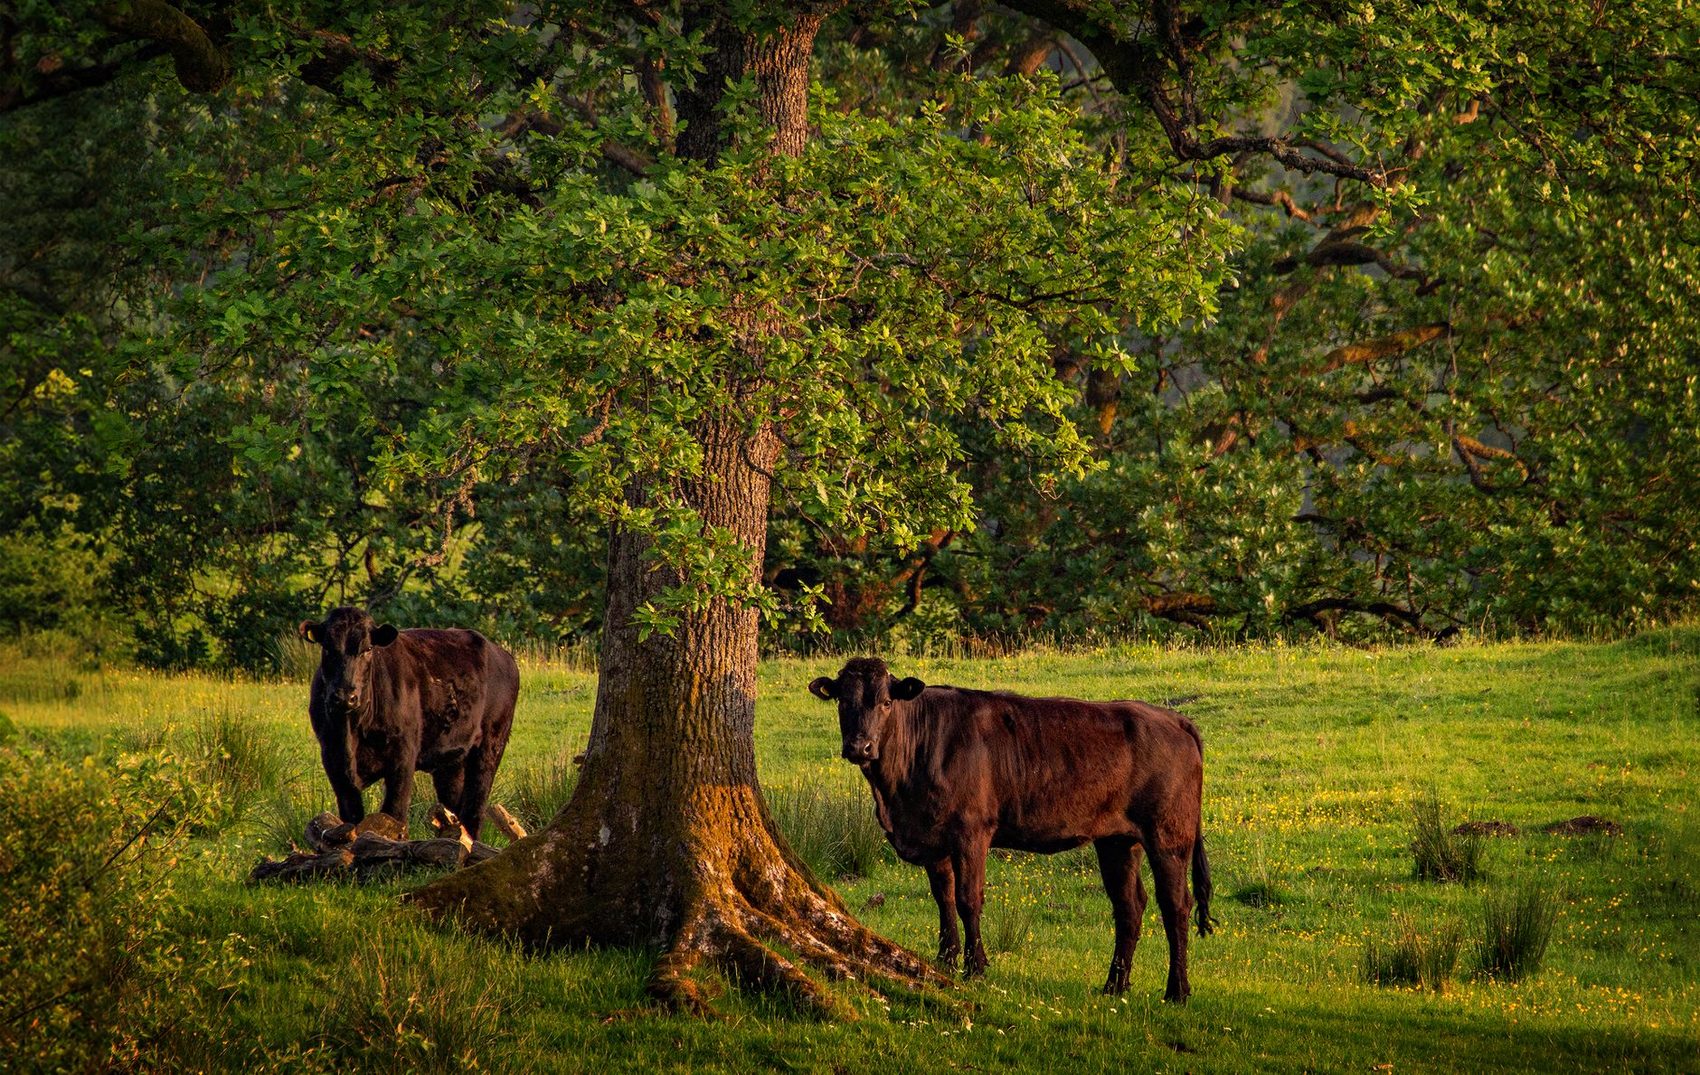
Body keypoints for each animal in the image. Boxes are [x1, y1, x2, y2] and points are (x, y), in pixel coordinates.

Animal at [299, 606, 520, 840]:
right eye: (327, 648)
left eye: (367, 649)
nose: (344, 696)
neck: (352, 730)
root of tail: (502, 654)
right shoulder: (333, 759)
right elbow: (351, 816)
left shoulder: (403, 755)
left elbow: (394, 812)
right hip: (451, 759)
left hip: (491, 746)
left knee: (475, 807)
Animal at [809, 657, 1214, 1002]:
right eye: (843, 702)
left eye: (886, 702)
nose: (860, 746)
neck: (897, 796)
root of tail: (1172, 718)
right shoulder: (934, 838)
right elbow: (943, 897)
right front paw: (945, 959)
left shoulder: (971, 831)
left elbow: (968, 899)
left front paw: (975, 966)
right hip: (1117, 840)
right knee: (1129, 905)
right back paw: (1114, 985)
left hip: (1168, 835)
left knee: (1176, 904)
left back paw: (1177, 990)